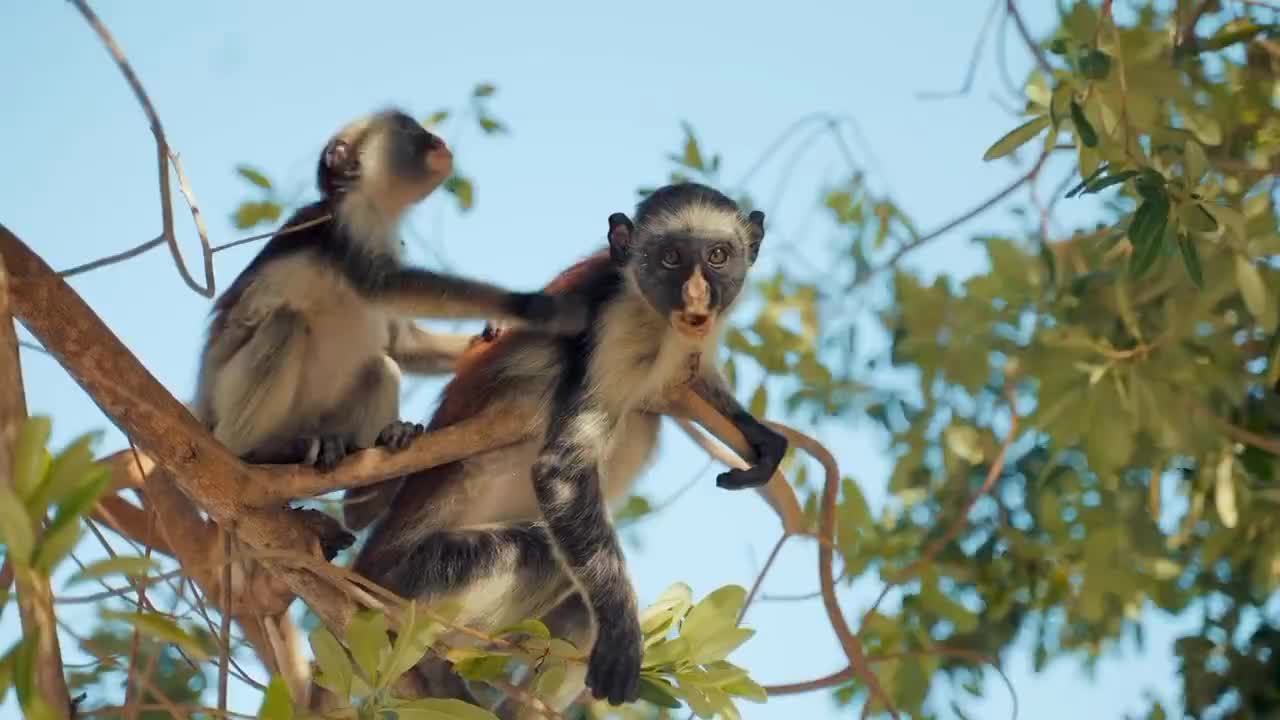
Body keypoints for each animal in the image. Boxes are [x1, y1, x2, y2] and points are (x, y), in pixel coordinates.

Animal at [188, 106, 586, 556]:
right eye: (410, 129)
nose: (436, 139)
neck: (370, 206)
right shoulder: (349, 228)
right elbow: (383, 286)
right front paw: (532, 306)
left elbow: (400, 342)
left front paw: (493, 331)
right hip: (225, 404)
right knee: (286, 326)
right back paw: (259, 455)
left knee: (380, 366)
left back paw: (366, 492)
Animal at [353, 180, 788, 712]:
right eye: (670, 258)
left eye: (718, 256)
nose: (697, 295)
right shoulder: (614, 326)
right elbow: (561, 471)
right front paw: (622, 633)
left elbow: (695, 376)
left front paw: (758, 434)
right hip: (409, 585)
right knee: (543, 550)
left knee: (581, 606)